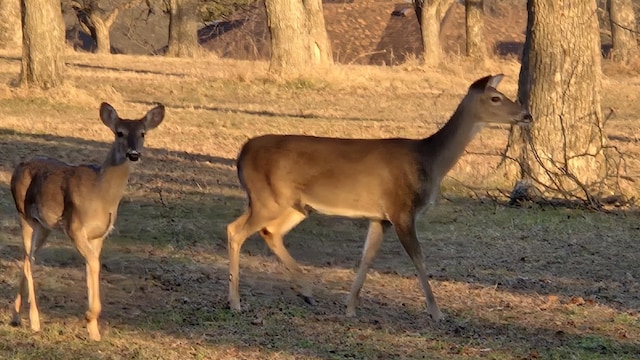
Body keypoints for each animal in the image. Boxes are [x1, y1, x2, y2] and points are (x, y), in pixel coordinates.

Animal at [9, 102, 164, 340]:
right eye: (119, 132)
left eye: (143, 133)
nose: (133, 154)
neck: (100, 195)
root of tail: (17, 168)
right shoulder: (74, 226)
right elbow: (94, 263)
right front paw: (90, 316)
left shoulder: (99, 234)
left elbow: (93, 265)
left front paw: (94, 331)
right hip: (24, 215)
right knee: (28, 260)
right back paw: (34, 321)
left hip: (44, 226)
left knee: (26, 258)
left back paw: (16, 317)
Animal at [228, 74, 532, 320]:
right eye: (496, 98)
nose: (526, 114)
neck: (429, 160)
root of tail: (242, 153)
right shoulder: (401, 208)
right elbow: (418, 258)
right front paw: (437, 312)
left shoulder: (380, 217)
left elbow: (367, 257)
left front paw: (350, 308)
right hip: (267, 197)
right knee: (235, 230)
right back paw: (236, 302)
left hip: (294, 204)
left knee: (270, 232)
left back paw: (307, 292)